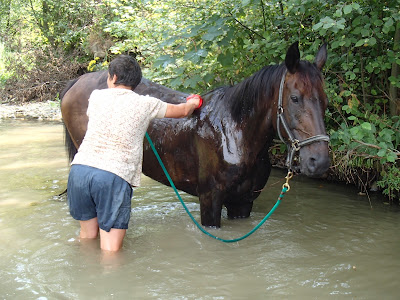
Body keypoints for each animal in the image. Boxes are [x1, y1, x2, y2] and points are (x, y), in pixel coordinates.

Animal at [61, 42, 330, 227]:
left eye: (325, 100)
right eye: (294, 98)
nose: (319, 161)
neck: (235, 133)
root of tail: (78, 81)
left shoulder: (243, 203)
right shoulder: (210, 200)